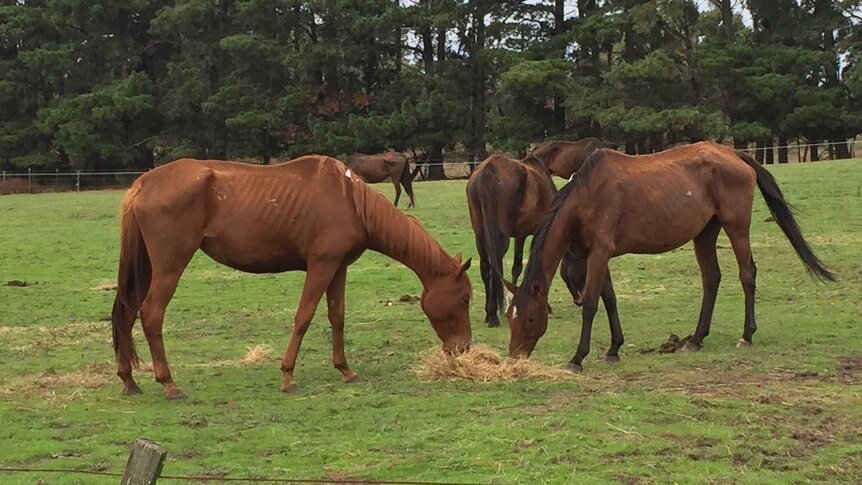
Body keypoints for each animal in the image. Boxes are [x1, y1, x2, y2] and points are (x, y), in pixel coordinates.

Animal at [110, 154, 472, 398]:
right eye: (465, 297)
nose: (464, 348)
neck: (349, 200)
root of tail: (143, 183)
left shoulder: (338, 268)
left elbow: (337, 317)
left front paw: (345, 370)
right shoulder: (321, 265)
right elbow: (304, 317)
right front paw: (288, 376)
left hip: (144, 268)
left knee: (126, 314)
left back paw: (129, 380)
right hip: (169, 267)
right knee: (151, 314)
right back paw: (169, 383)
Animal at [506, 142, 836, 368]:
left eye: (531, 317)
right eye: (510, 317)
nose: (515, 356)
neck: (585, 197)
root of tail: (733, 154)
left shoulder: (599, 254)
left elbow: (590, 305)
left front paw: (578, 358)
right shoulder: (597, 256)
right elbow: (609, 299)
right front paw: (614, 349)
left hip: (737, 227)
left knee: (747, 274)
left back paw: (746, 335)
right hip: (705, 234)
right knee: (711, 279)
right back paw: (696, 339)